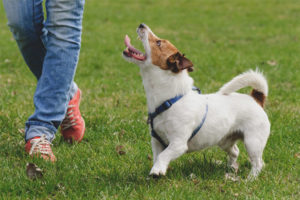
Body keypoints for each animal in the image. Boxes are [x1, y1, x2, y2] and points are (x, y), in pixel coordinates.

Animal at [122, 23, 270, 180]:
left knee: (258, 162)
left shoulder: (178, 143)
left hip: (253, 141)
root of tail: (255, 98)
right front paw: (156, 170)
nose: (142, 25)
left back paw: (250, 179)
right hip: (225, 140)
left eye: (158, 42)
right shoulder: (156, 141)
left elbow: (164, 155)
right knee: (236, 152)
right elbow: (157, 157)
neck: (169, 100)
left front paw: (157, 171)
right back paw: (231, 168)